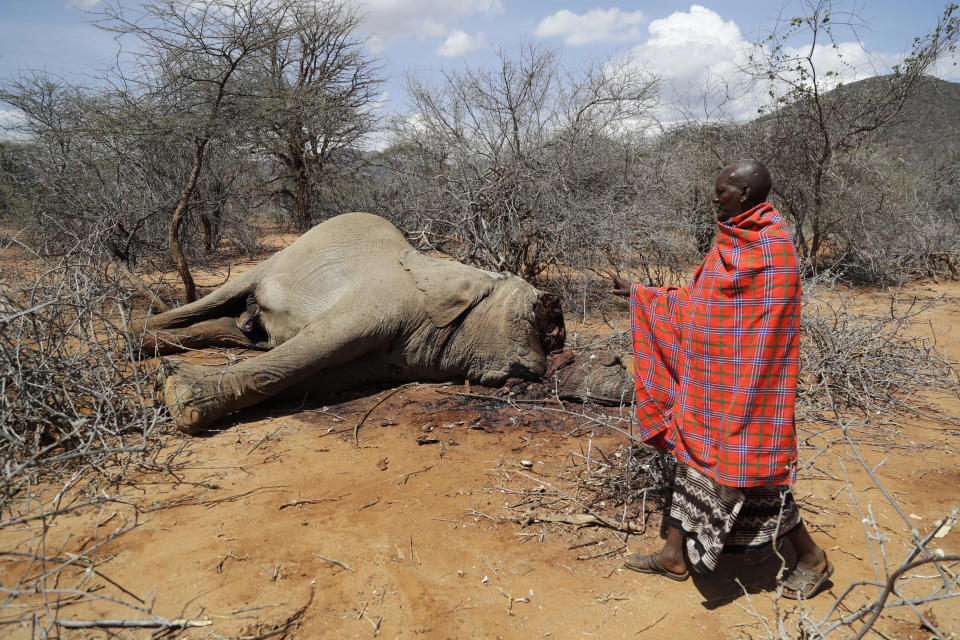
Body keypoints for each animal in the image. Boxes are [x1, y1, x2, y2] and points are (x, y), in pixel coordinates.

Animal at [142, 212, 632, 432]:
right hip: (280, 256)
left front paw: (172, 384)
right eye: (544, 320)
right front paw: (176, 395)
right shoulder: (385, 302)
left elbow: (313, 374)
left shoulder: (400, 357)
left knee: (237, 331)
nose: (561, 340)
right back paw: (135, 340)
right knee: (220, 299)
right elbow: (314, 346)